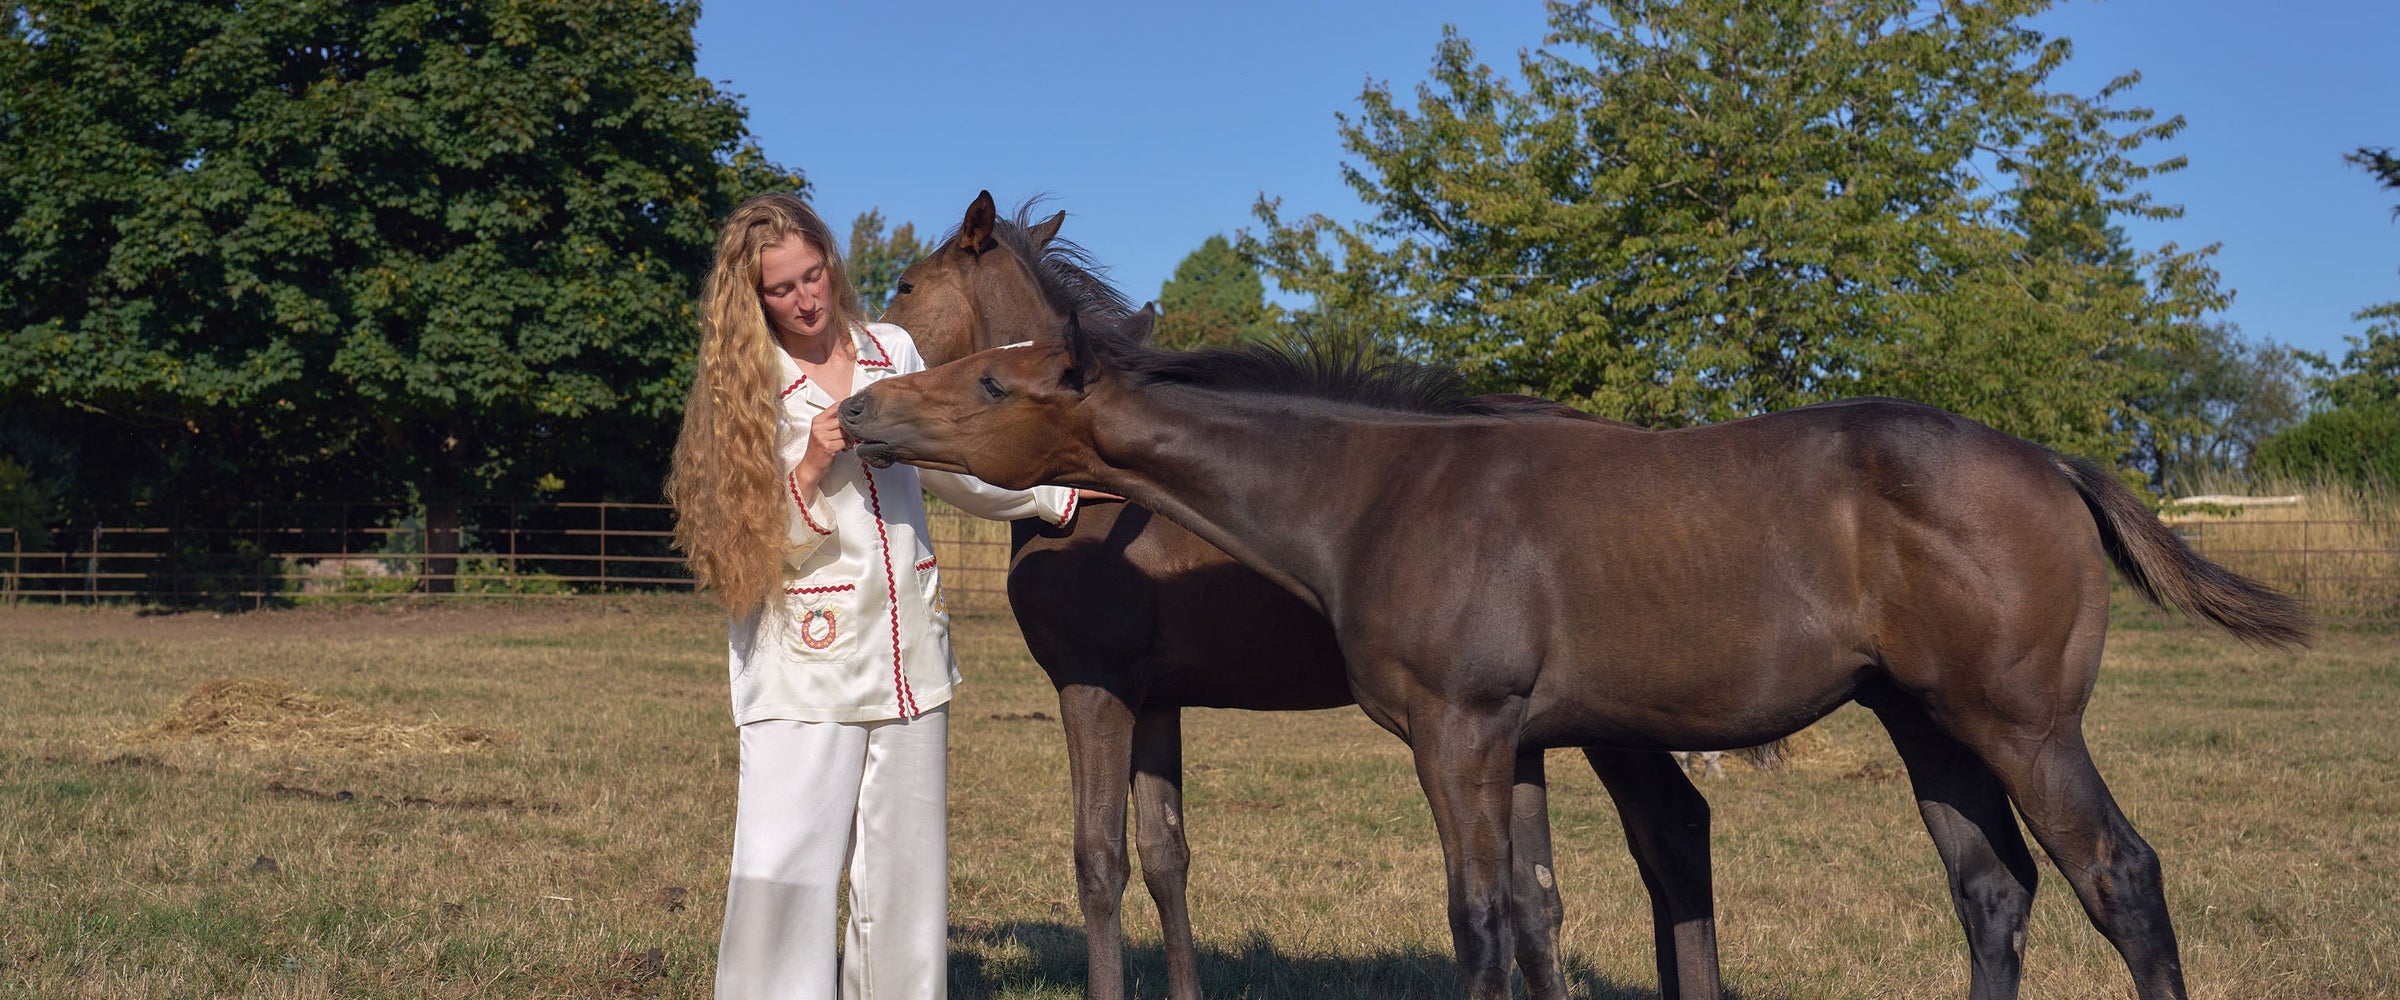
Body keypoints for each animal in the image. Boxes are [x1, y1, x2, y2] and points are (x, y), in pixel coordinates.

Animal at [839, 306, 2312, 1000]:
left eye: (990, 382)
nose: (860, 410)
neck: (1378, 492)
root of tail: (2054, 465)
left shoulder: (1461, 732)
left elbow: (1483, 917)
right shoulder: (1512, 743)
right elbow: (1527, 906)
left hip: (2022, 722)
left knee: (2120, 876)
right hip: (1927, 724)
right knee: (1993, 892)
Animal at [880, 192, 1724, 1000]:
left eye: (907, 284)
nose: (869, 395)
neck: (1094, 494)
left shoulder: (1094, 688)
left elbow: (1100, 861)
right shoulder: (1155, 700)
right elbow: (1164, 855)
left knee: (1669, 834)